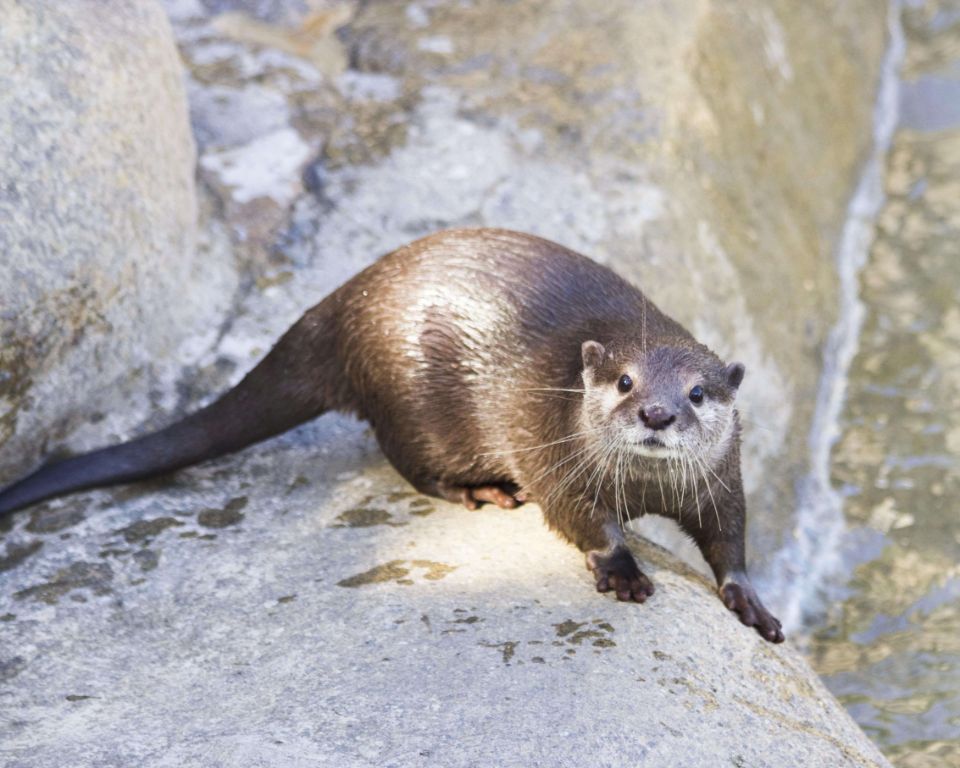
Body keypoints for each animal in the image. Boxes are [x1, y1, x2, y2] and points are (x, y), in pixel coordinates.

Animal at [0, 228, 783, 642]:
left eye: (697, 393)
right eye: (623, 382)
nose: (656, 414)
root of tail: (342, 307)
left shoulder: (722, 481)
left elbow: (730, 538)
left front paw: (753, 603)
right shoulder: (552, 456)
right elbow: (582, 520)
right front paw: (622, 571)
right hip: (410, 394)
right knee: (409, 461)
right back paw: (481, 491)